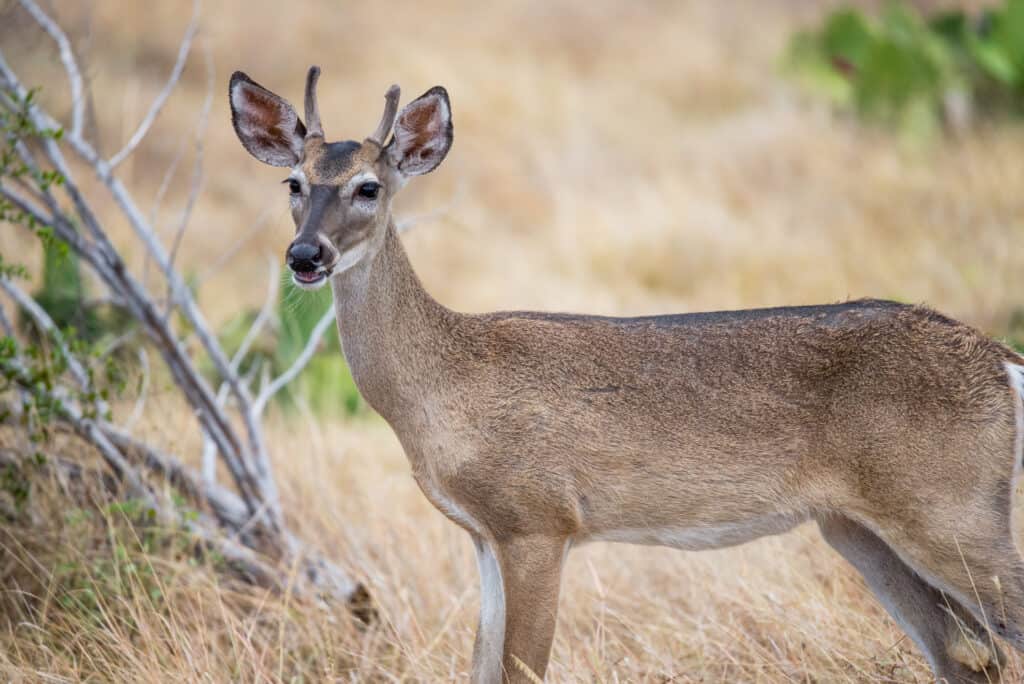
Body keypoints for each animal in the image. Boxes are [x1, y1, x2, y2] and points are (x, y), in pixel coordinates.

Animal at [230, 65, 1024, 684]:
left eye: (368, 187)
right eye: (292, 182)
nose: (306, 256)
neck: (442, 387)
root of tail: (1002, 360)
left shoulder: (540, 518)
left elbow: (521, 669)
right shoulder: (484, 533)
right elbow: (481, 666)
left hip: (949, 507)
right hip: (859, 527)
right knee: (965, 654)